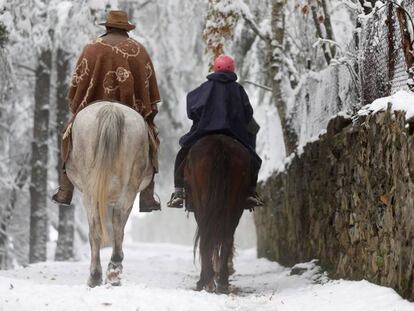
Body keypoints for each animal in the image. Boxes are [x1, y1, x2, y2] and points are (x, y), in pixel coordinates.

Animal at [65, 102, 153, 288]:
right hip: (125, 187)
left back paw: (98, 274)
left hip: (92, 192)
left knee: (98, 229)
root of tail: (111, 108)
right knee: (116, 223)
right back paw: (112, 271)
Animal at [185, 135, 251, 294]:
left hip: (201, 202)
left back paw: (207, 281)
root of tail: (219, 144)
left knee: (206, 237)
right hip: (235, 203)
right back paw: (222, 282)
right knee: (226, 237)